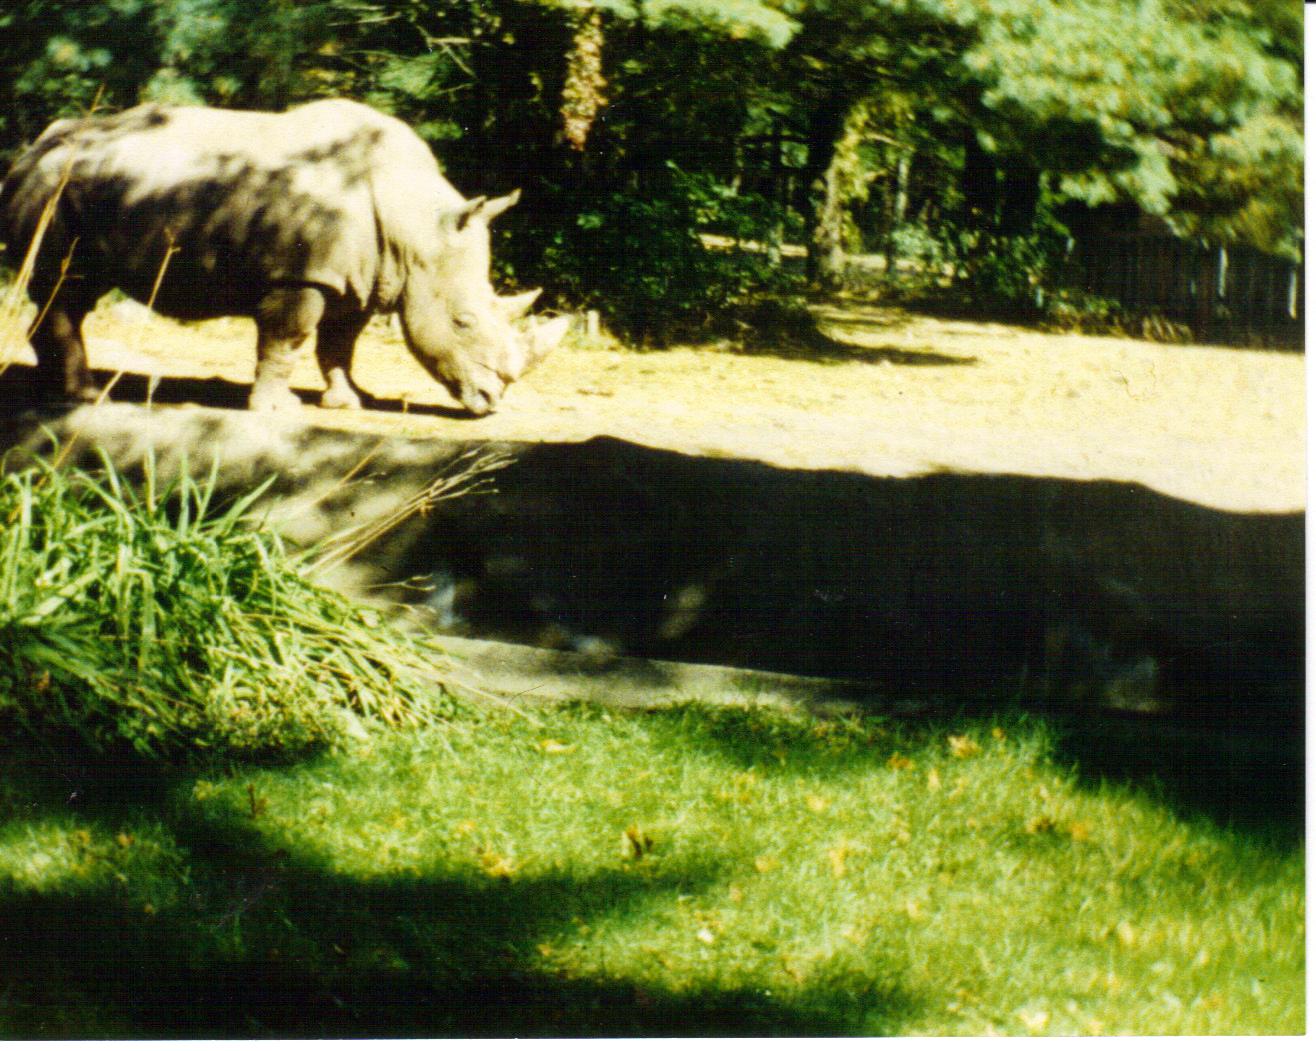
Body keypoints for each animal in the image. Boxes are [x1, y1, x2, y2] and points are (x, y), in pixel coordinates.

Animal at [0, 98, 568, 415]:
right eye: (462, 322)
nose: (491, 403)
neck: (414, 224)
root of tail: (33, 148)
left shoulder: (359, 280)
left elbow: (339, 347)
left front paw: (348, 402)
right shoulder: (302, 275)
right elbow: (288, 339)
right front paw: (277, 409)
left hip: (89, 184)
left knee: (76, 290)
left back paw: (61, 394)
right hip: (56, 187)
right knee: (69, 284)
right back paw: (82, 397)